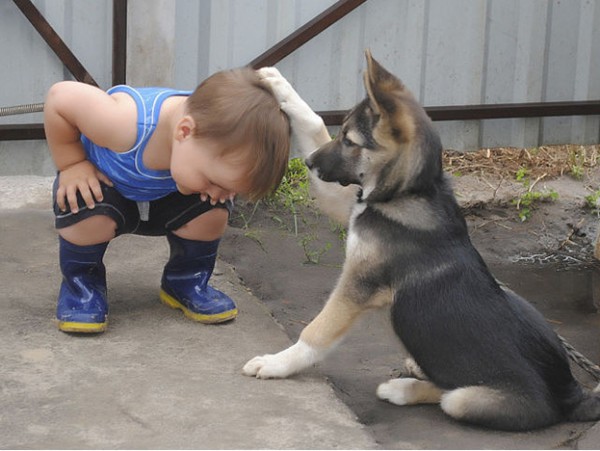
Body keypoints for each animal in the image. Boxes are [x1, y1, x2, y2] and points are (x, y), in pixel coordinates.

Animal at [244, 51, 600, 432]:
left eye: (350, 141)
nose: (310, 164)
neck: (407, 192)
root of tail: (570, 395)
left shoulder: (357, 286)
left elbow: (317, 331)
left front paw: (276, 363)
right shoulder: (347, 202)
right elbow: (313, 125)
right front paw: (278, 84)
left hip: (471, 401)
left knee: (449, 394)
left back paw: (402, 388)